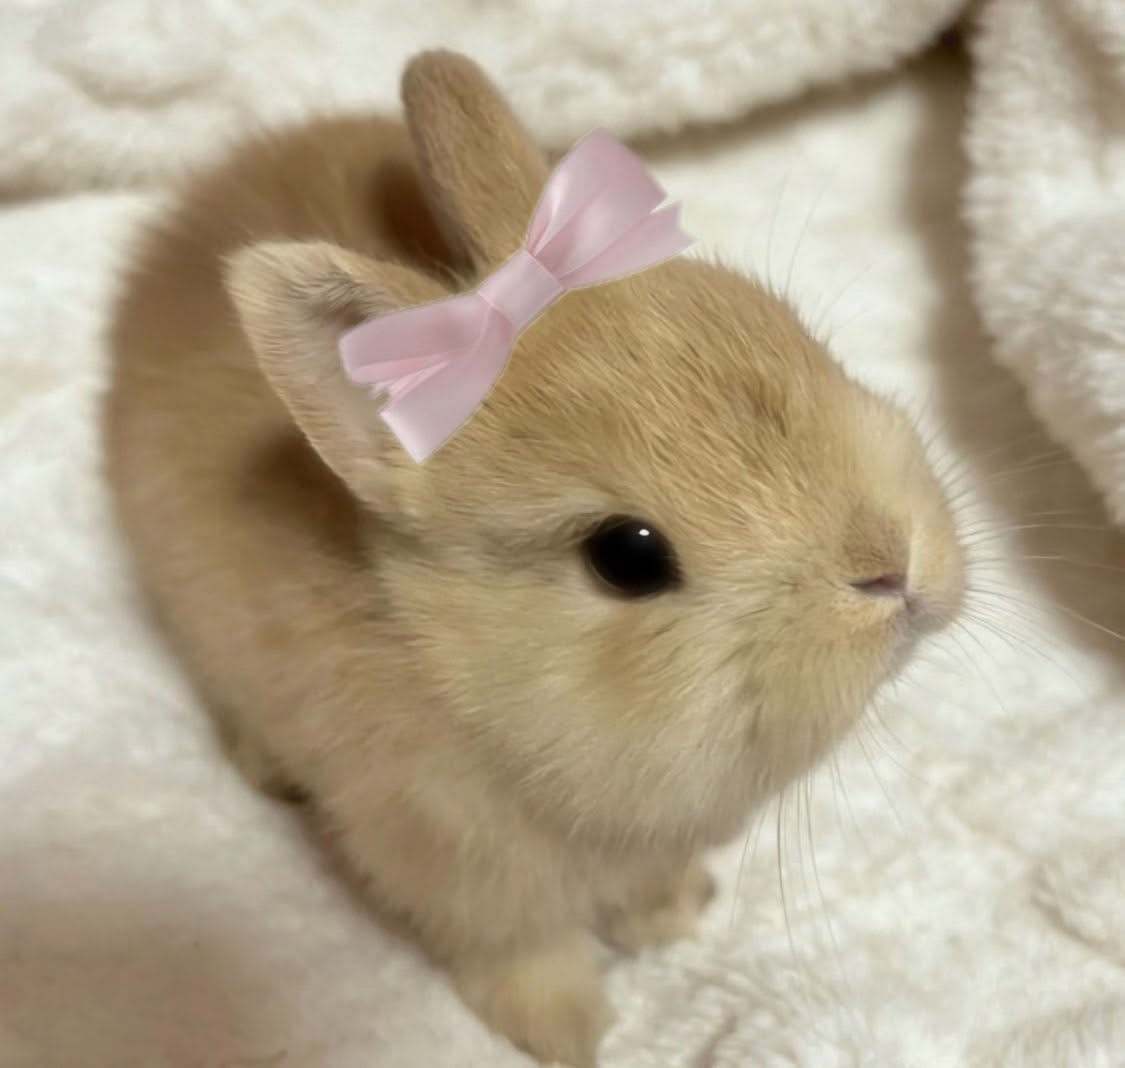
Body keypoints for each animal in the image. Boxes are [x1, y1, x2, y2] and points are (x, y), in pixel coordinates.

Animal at [102, 49, 965, 1068]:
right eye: (626, 557)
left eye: (791, 334)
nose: (888, 566)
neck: (460, 671)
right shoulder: (463, 878)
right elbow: (521, 953)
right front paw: (570, 1033)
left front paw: (669, 919)